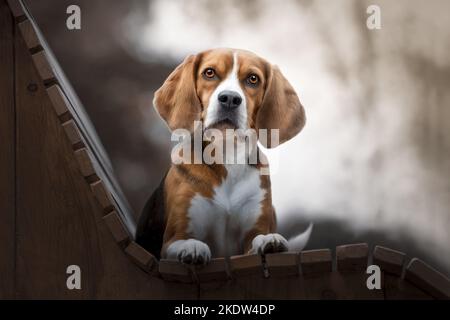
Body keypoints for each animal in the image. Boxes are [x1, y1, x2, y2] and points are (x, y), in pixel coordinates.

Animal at [137, 47, 312, 262]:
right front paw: (193, 247)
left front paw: (269, 241)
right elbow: (184, 242)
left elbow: (258, 239)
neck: (228, 154)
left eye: (253, 79)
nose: (229, 98)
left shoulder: (252, 232)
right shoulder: (173, 239)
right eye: (209, 73)